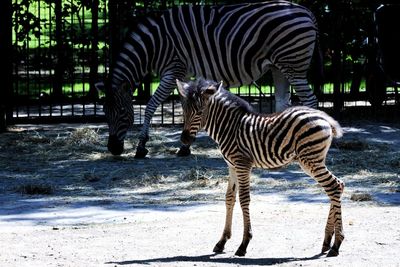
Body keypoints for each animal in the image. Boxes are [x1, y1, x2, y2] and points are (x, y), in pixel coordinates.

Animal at [97, 0, 322, 158]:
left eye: (123, 112)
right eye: (105, 112)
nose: (113, 149)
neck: (154, 44)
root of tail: (307, 12)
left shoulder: (174, 68)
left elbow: (151, 104)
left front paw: (141, 147)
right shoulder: (183, 73)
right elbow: (185, 104)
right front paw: (185, 147)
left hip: (293, 65)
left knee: (311, 100)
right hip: (279, 67)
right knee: (283, 102)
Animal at [177, 78, 346, 258]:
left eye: (200, 111)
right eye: (184, 111)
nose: (184, 140)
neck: (229, 128)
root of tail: (325, 118)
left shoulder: (242, 164)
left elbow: (244, 199)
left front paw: (244, 244)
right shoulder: (231, 166)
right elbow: (229, 198)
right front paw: (222, 242)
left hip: (311, 160)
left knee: (334, 186)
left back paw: (336, 244)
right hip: (314, 161)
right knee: (336, 186)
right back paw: (327, 242)